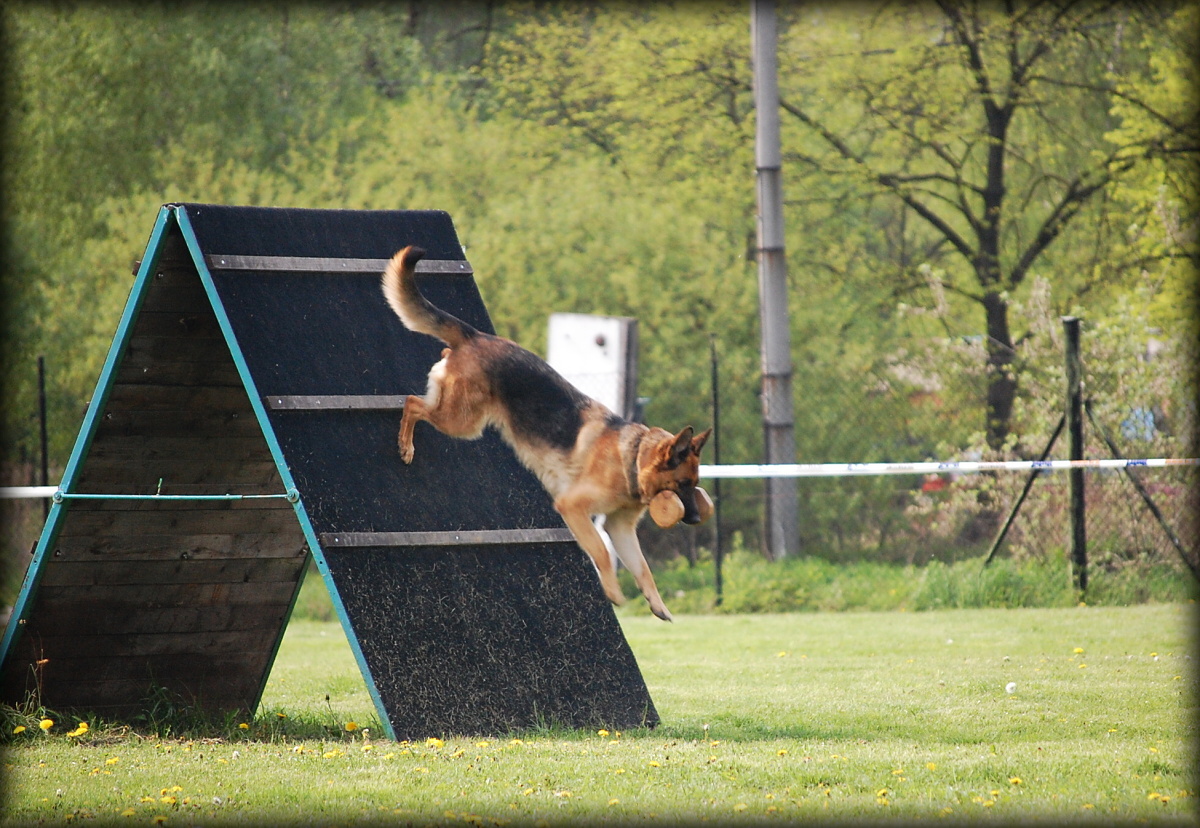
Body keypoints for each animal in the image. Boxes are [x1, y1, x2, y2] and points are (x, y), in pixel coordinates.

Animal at [381, 244, 710, 619]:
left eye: (694, 484)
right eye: (683, 484)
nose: (696, 518)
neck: (633, 458)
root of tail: (477, 336)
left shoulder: (620, 529)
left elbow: (643, 569)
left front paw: (658, 605)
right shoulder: (573, 507)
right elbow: (600, 552)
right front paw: (612, 591)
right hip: (462, 421)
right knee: (411, 403)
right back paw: (405, 446)